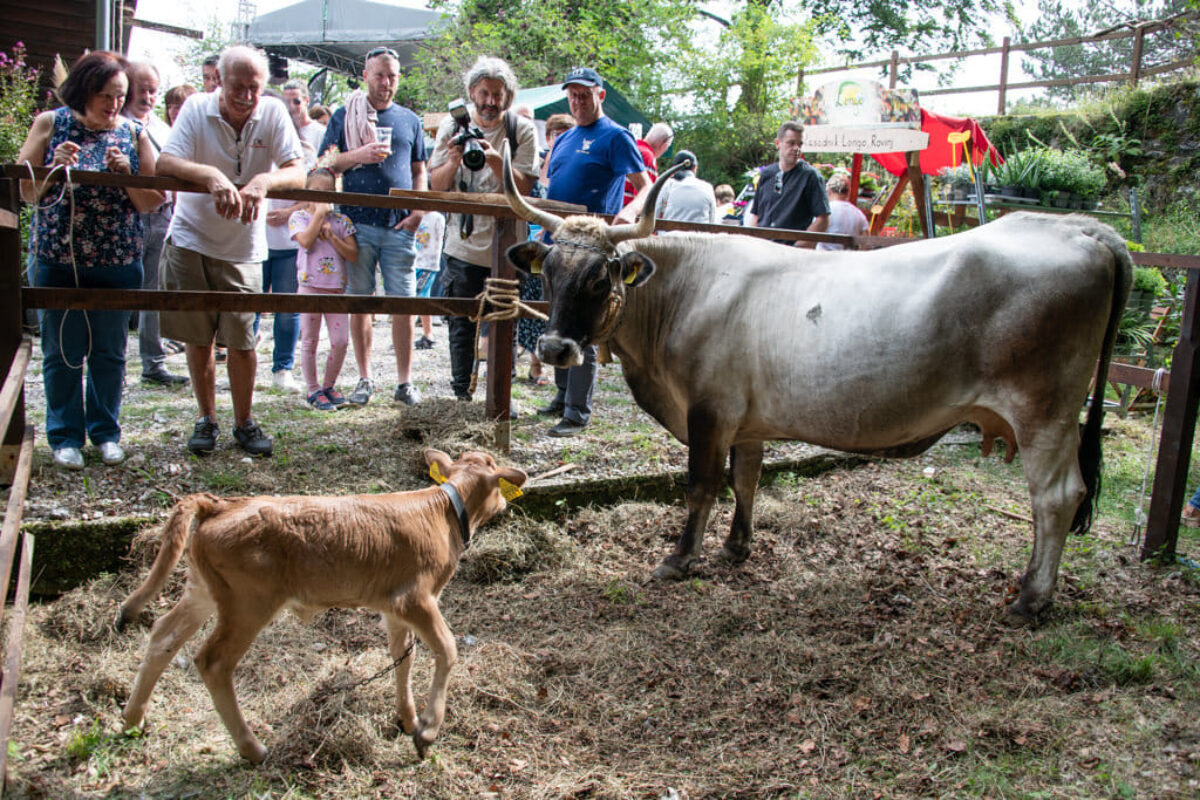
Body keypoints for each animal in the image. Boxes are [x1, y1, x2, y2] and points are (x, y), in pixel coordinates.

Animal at [118, 450, 530, 762]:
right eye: (496, 473)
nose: (506, 502)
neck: (441, 511)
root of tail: (219, 505)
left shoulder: (392, 606)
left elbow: (403, 656)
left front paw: (407, 719)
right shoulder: (416, 599)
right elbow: (447, 649)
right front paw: (427, 730)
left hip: (203, 590)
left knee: (163, 635)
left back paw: (133, 719)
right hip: (247, 603)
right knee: (213, 662)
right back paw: (252, 749)